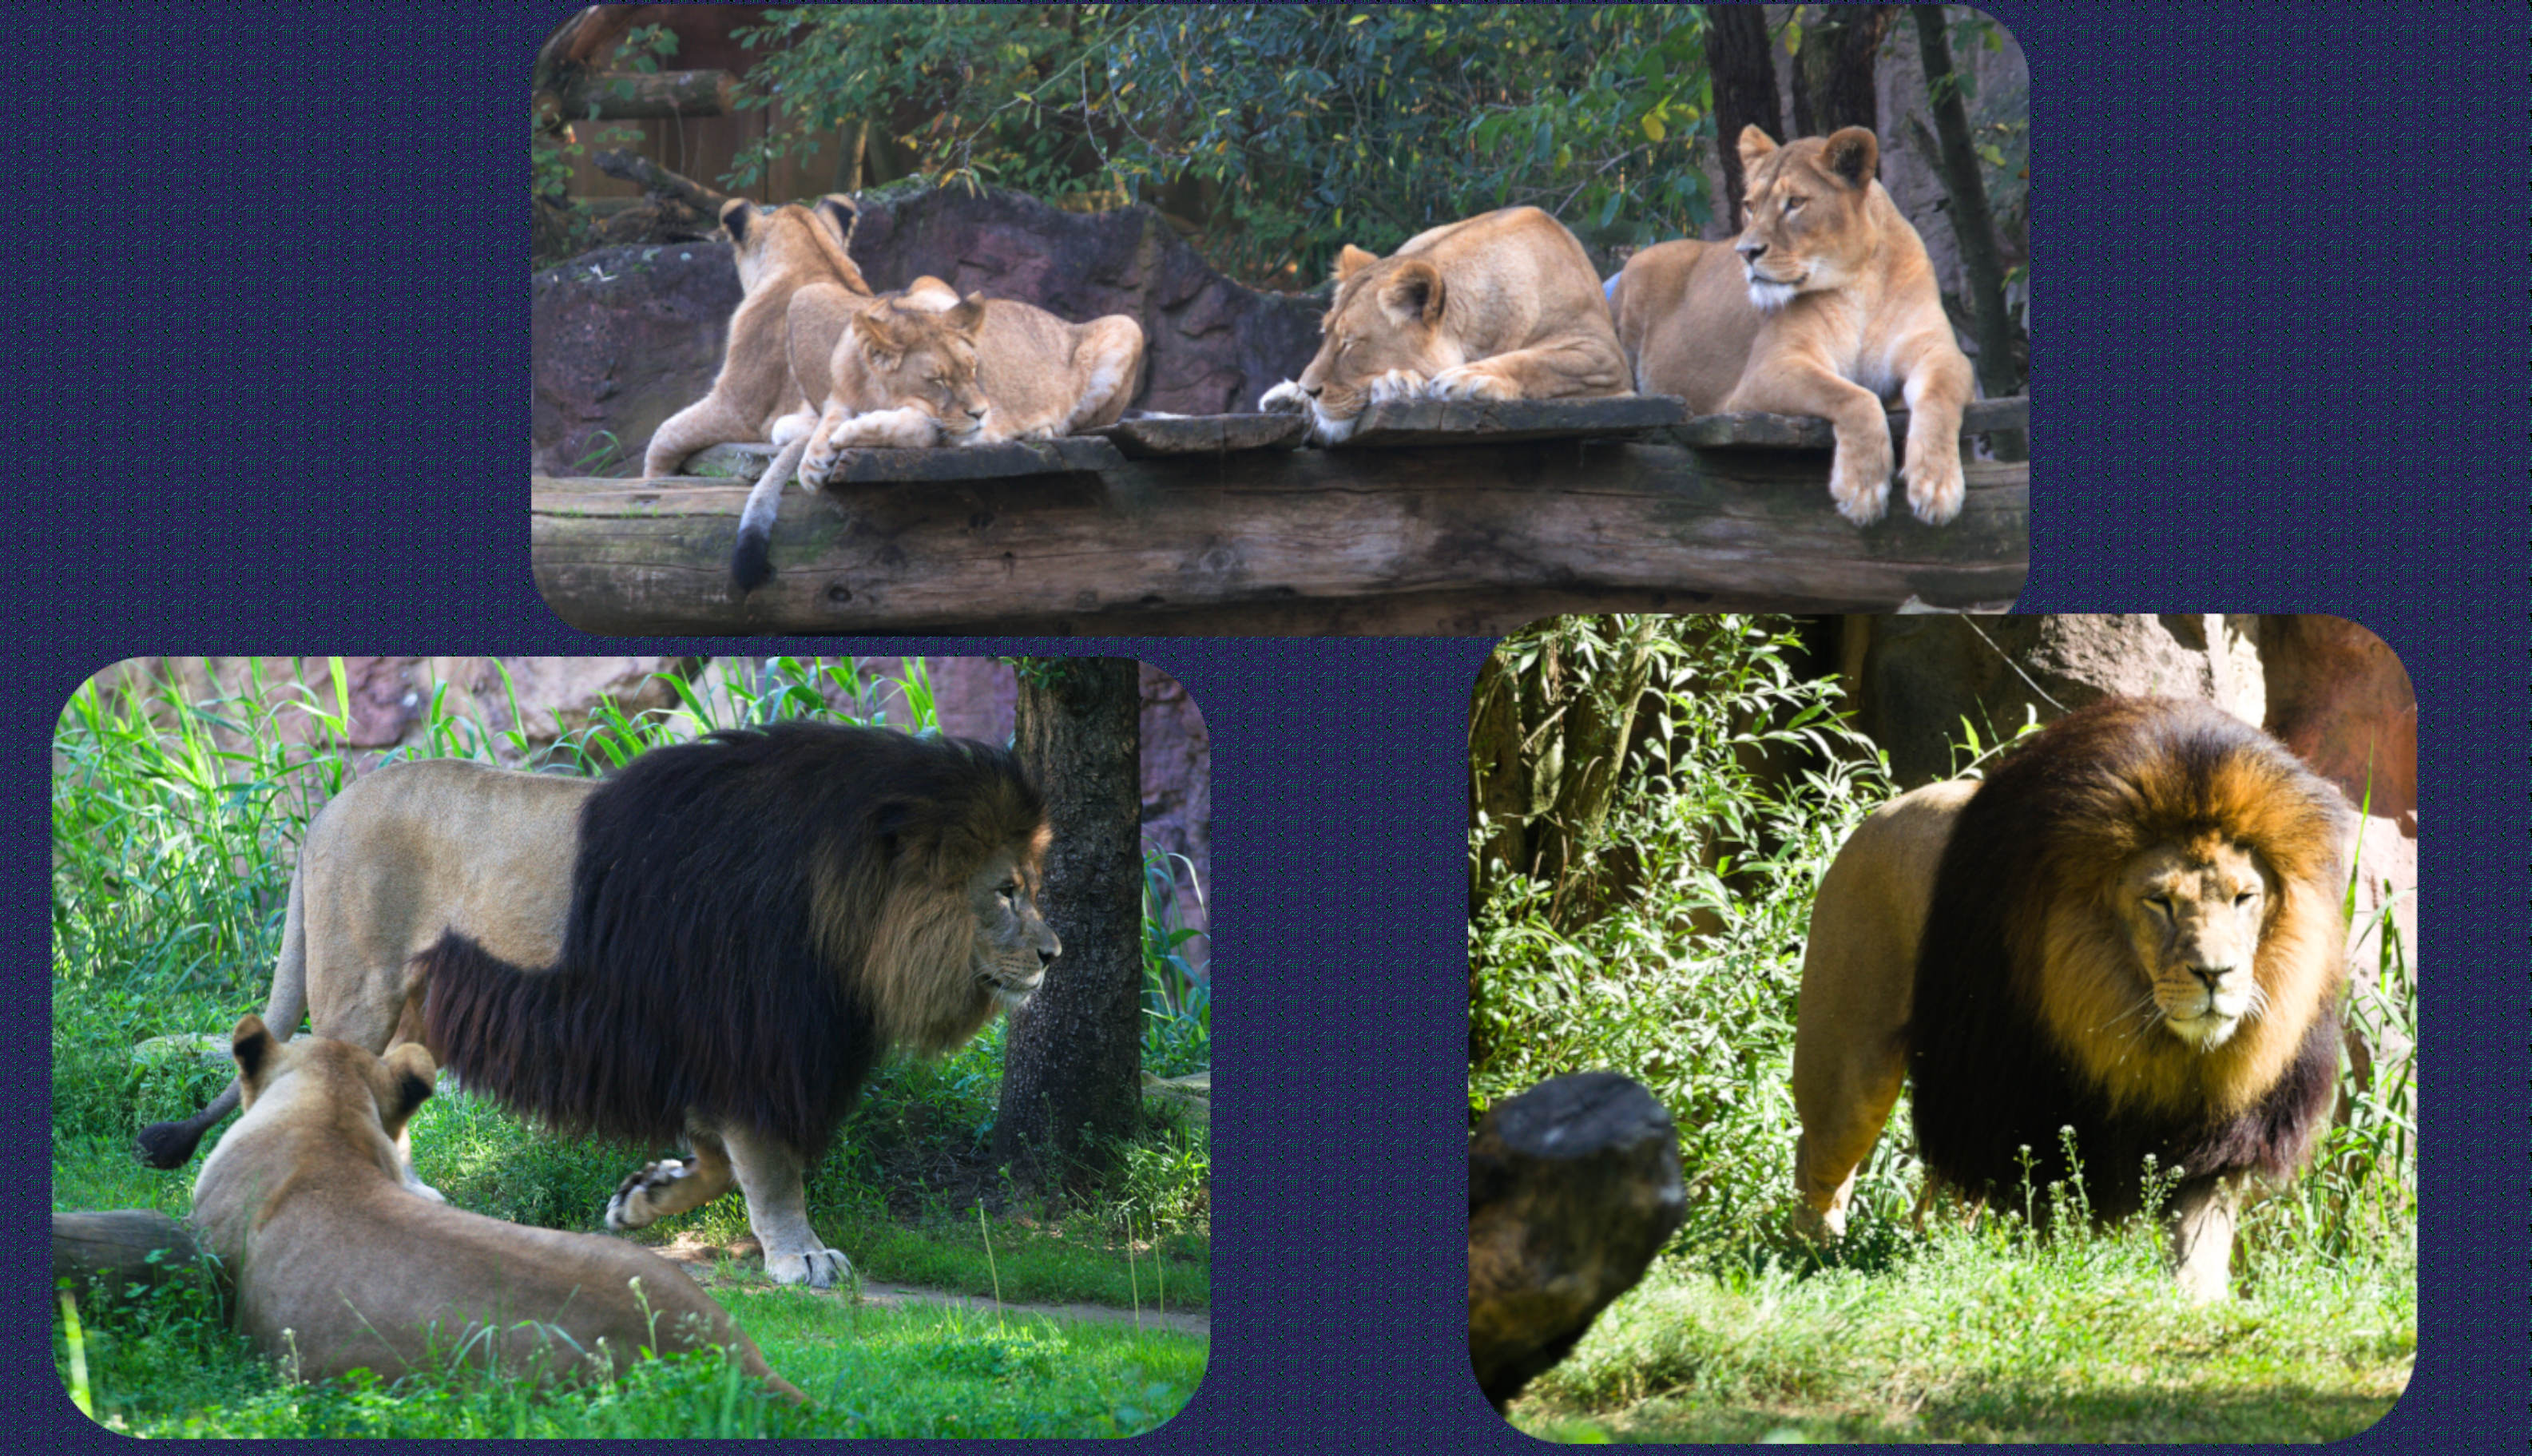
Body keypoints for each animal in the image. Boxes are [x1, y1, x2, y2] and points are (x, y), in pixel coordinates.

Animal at [140, 721, 1059, 1290]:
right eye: (1006, 891)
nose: (1054, 953)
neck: (854, 911)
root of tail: (328, 811)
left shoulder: (700, 1039)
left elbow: (717, 1158)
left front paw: (642, 1196)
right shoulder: (753, 1034)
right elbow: (770, 1164)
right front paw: (800, 1256)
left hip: (407, 1005)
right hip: (359, 987)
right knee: (317, 1080)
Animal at [728, 278, 1145, 591]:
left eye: (974, 369)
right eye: (938, 380)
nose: (982, 412)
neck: (872, 389)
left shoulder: (954, 431)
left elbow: (910, 426)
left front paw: (851, 431)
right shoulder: (841, 390)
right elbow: (829, 415)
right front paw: (813, 462)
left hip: (1128, 325)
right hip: (805, 294)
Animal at [1257, 206, 1632, 445]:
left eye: (1350, 342)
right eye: (1326, 336)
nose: (1310, 390)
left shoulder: (1606, 356)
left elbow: (1538, 362)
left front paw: (1467, 378)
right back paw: (1286, 399)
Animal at [1610, 126, 1976, 526]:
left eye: (1795, 202)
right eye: (1750, 205)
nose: (1746, 253)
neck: (1860, 284)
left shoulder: (1938, 350)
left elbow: (1939, 396)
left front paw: (1938, 485)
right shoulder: (1767, 372)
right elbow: (1852, 396)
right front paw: (1862, 488)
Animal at [1789, 696, 2354, 1301]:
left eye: (2244, 897)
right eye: (2159, 902)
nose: (2215, 973)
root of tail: (1876, 815)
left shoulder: (2220, 1131)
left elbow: (2201, 1234)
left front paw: (2198, 1299)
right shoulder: (2031, 1111)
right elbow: (2051, 1216)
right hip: (1851, 1069)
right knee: (1818, 1165)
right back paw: (1815, 1259)